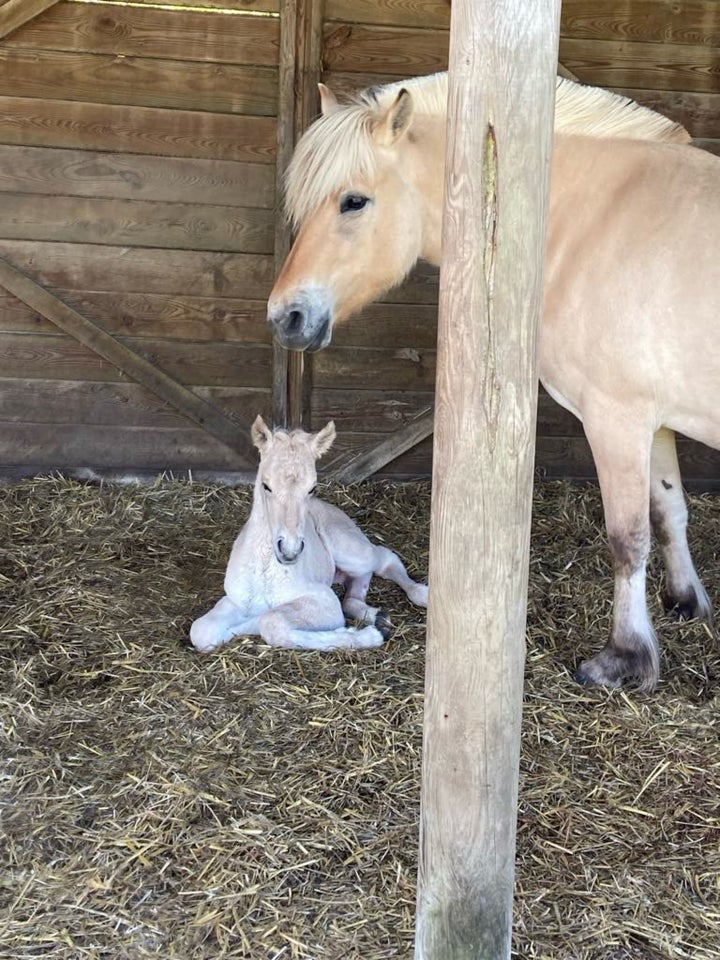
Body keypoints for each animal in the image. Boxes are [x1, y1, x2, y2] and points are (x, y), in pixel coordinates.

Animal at [191, 412, 428, 652]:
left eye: (312, 488)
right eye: (266, 485)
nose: (290, 550)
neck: (266, 572)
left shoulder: (324, 599)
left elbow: (269, 619)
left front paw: (366, 635)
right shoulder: (233, 600)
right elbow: (202, 631)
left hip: (352, 551)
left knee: (383, 560)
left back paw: (421, 596)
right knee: (354, 594)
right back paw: (377, 615)